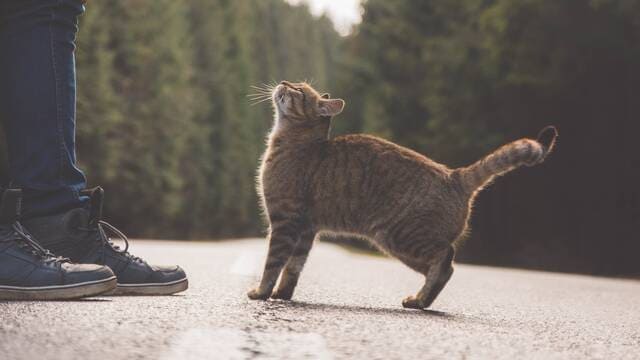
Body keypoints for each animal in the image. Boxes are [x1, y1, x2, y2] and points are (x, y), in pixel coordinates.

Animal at [248, 81, 556, 310]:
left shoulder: (285, 221)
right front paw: (282, 294)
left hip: (400, 237)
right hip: (400, 246)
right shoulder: (307, 229)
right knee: (443, 268)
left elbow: (273, 263)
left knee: (446, 258)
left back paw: (420, 300)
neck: (296, 142)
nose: (283, 82)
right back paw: (419, 300)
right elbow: (293, 268)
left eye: (298, 90)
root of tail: (455, 175)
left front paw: (261, 292)